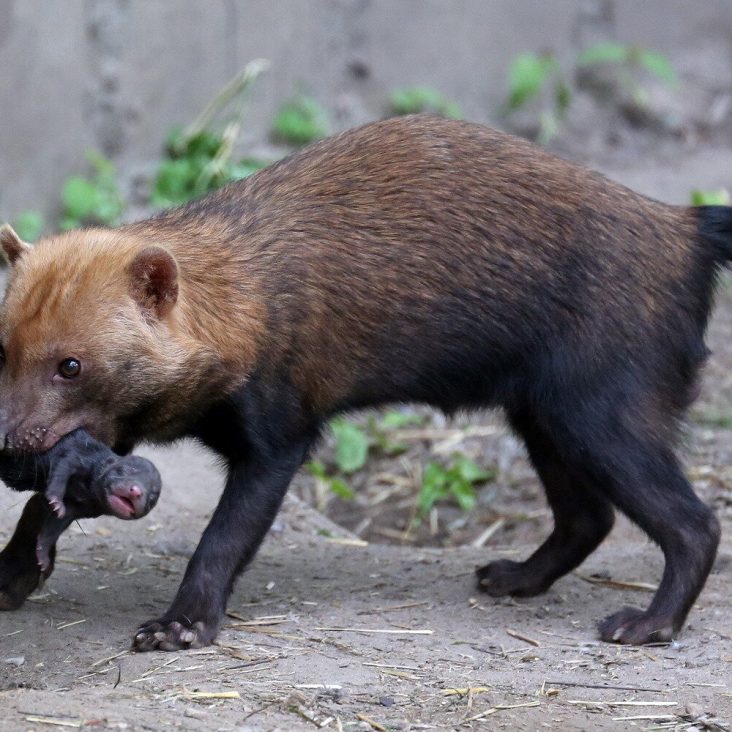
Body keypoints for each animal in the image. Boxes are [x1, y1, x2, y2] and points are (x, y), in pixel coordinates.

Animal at [0, 426, 161, 608]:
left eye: (152, 496)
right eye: (124, 470)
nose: (136, 491)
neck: (86, 491)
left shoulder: (82, 508)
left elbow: (53, 527)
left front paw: (42, 556)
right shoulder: (79, 455)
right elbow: (63, 468)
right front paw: (55, 500)